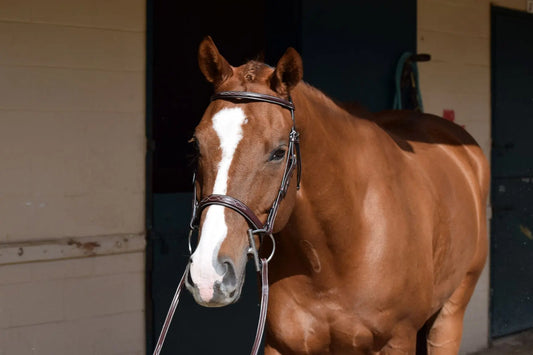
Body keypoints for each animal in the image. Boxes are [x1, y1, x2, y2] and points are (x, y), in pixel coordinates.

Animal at [185, 37, 488, 354]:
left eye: (279, 152)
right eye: (196, 145)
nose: (209, 274)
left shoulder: (397, 341)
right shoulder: (280, 344)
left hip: (451, 312)